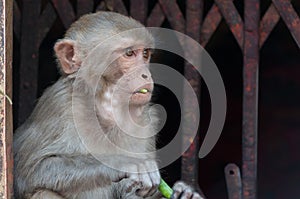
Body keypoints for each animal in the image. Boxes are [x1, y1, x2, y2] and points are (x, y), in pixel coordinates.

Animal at [13, 11, 202, 198]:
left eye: (145, 54)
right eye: (129, 53)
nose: (146, 74)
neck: (106, 109)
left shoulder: (147, 121)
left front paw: (185, 191)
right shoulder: (58, 103)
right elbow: (30, 171)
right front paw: (125, 163)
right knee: (44, 191)